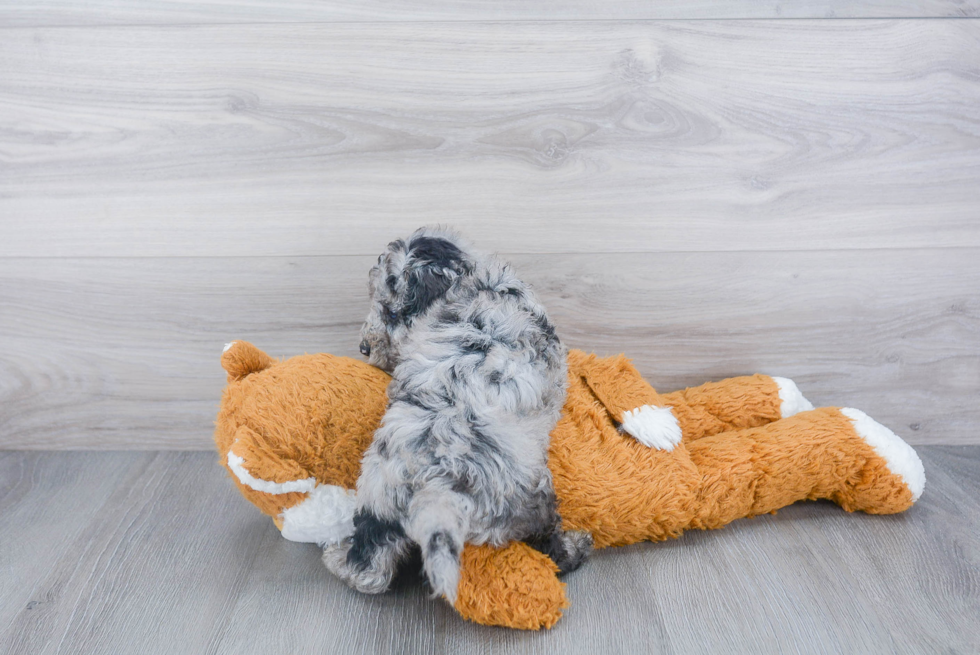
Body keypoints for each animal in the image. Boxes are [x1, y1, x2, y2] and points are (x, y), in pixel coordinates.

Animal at [326, 228, 592, 604]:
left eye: (390, 314)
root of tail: (436, 485)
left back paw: (341, 560)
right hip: (530, 493)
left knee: (370, 563)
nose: (364, 348)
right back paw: (575, 547)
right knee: (547, 539)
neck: (471, 282)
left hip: (379, 496)